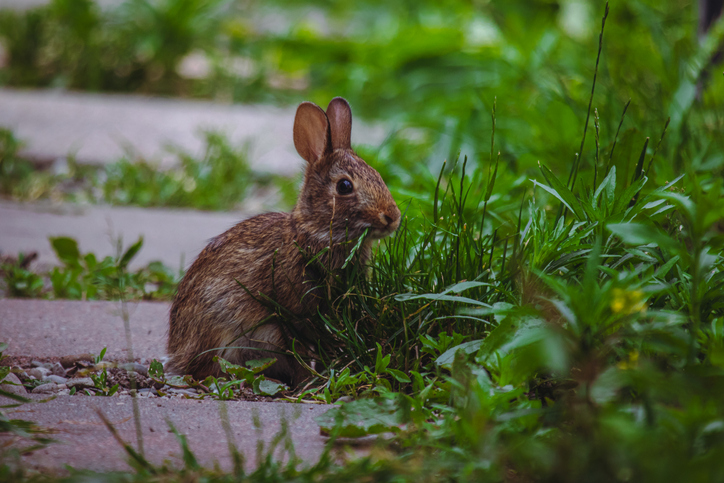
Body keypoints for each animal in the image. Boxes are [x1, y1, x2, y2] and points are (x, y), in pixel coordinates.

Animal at [165, 96, 402, 388]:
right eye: (345, 186)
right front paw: (310, 381)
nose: (392, 217)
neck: (315, 231)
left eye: (377, 174)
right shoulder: (292, 313)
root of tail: (177, 352)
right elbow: (299, 349)